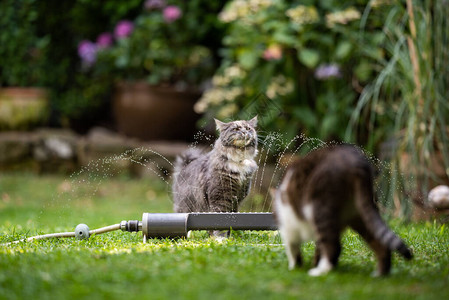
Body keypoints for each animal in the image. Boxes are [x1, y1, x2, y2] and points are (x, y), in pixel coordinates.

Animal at [272, 145, 412, 276]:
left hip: (320, 209)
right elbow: (317, 249)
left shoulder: (289, 226)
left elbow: (292, 248)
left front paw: (295, 266)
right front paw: (312, 262)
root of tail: (356, 162)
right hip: (360, 213)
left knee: (334, 247)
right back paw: (380, 274)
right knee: (380, 244)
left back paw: (320, 271)